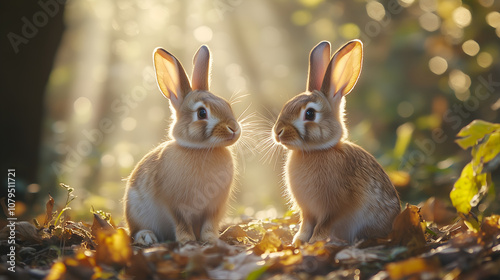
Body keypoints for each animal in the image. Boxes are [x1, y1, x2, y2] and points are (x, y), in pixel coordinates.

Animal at [125, 44, 242, 244]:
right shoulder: (174, 205)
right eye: (202, 113)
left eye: (227, 104)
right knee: (135, 230)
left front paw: (211, 239)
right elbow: (181, 222)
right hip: (134, 209)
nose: (234, 128)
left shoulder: (214, 207)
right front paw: (187, 240)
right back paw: (147, 237)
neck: (199, 149)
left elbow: (209, 224)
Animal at [272, 40, 400, 245]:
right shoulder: (307, 211)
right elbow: (306, 224)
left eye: (310, 114)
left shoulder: (334, 208)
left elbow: (323, 225)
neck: (316, 151)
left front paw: (315, 242)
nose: (278, 132)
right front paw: (299, 241)